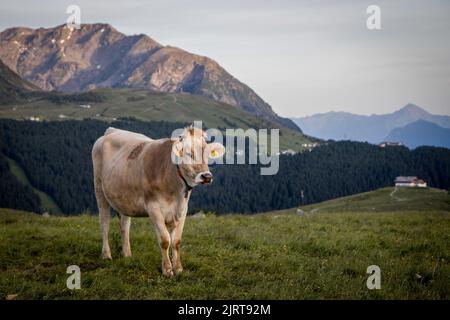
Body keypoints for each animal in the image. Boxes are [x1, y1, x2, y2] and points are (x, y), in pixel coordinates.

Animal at [92, 126, 225, 276]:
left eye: (208, 154)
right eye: (188, 153)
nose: (206, 176)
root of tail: (112, 130)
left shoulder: (183, 208)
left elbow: (176, 241)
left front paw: (178, 268)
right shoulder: (153, 207)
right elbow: (165, 240)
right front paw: (167, 270)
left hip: (123, 196)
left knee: (125, 225)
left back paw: (127, 254)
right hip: (99, 187)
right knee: (104, 223)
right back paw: (106, 255)